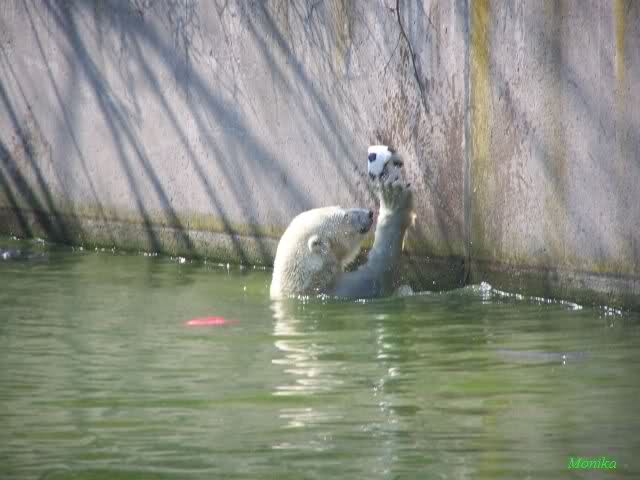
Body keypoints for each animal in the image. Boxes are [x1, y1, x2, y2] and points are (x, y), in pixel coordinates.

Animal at [270, 158, 413, 299]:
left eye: (341, 207)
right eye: (345, 215)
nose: (369, 213)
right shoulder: (345, 290)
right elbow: (378, 274)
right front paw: (393, 199)